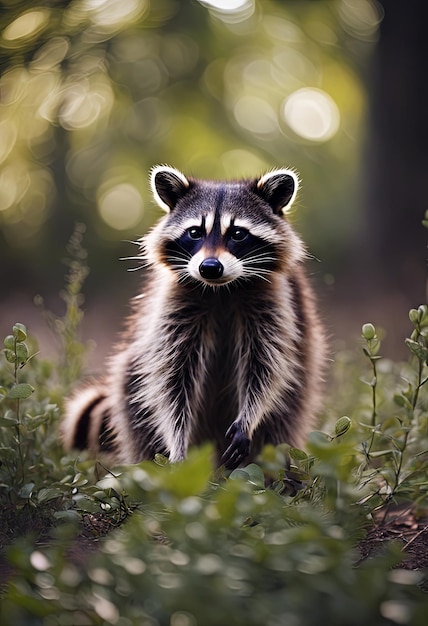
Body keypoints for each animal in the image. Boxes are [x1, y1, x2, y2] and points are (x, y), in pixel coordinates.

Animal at [61, 166, 326, 468]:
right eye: (195, 232)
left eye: (238, 233)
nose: (209, 267)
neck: (221, 289)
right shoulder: (174, 306)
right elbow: (170, 376)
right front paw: (177, 440)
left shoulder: (276, 301)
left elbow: (267, 364)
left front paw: (249, 416)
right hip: (129, 395)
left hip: (297, 398)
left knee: (278, 433)